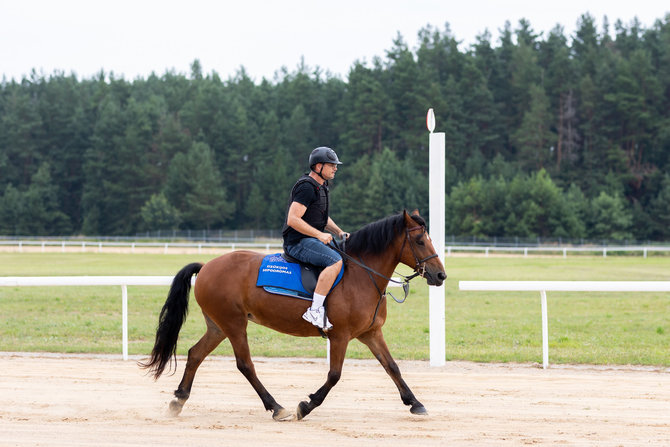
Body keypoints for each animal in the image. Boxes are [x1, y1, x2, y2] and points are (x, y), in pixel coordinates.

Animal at [141, 210, 446, 420]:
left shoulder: (371, 333)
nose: (440, 275)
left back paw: (178, 401)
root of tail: (206, 266)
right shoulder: (340, 336)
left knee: (195, 354)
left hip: (218, 326)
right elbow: (334, 375)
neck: (362, 274)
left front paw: (415, 403)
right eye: (420, 240)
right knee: (245, 365)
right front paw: (306, 405)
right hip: (234, 324)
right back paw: (275, 406)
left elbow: (392, 367)